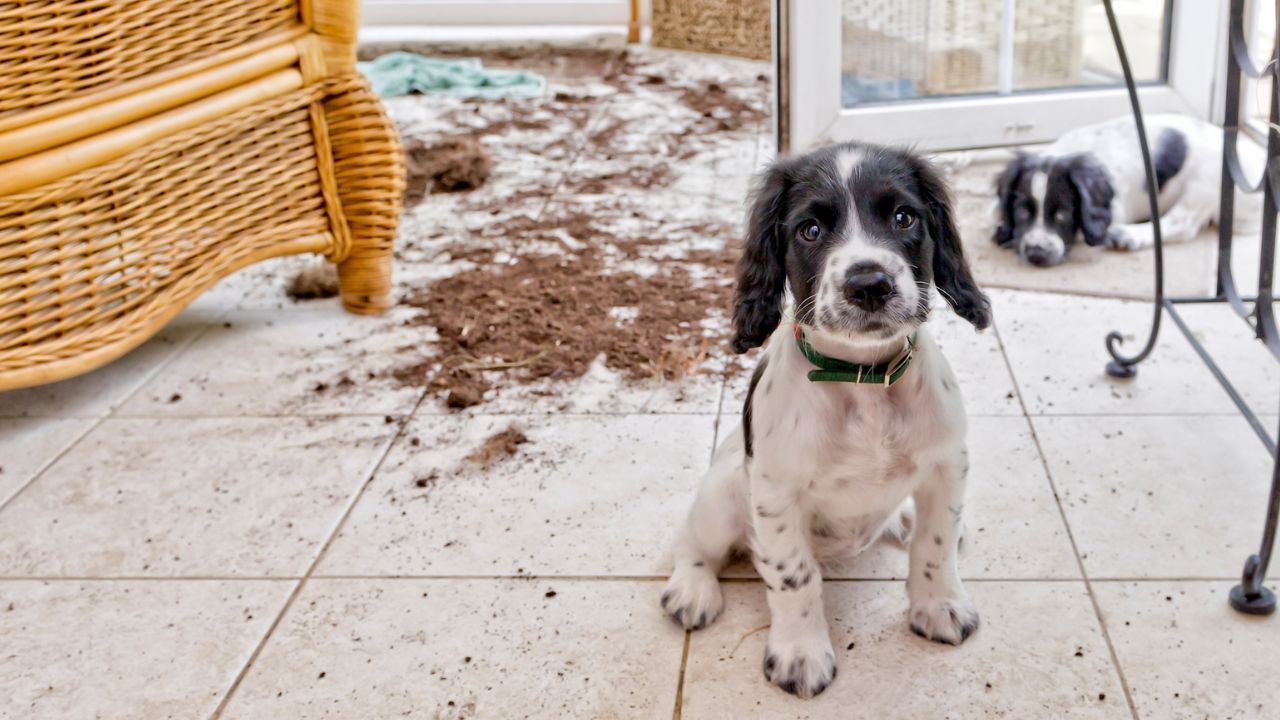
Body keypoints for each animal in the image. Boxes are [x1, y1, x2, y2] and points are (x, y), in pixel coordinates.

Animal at [660, 140, 988, 696]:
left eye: (904, 217)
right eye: (809, 230)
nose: (869, 284)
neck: (863, 380)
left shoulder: (949, 465)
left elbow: (936, 543)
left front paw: (939, 606)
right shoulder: (775, 494)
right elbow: (794, 576)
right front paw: (800, 655)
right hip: (722, 494)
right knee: (691, 541)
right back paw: (691, 590)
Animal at [988, 113, 1259, 265]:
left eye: (1063, 214)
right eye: (1022, 211)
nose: (1037, 254)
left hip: (1206, 181)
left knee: (1182, 224)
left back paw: (1129, 236)